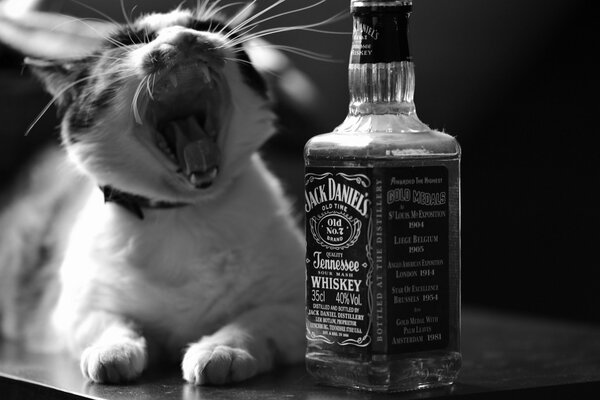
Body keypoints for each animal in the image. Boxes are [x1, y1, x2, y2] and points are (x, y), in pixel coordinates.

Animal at [0, 1, 310, 386]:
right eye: (133, 42)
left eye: (206, 26)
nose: (184, 37)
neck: (184, 213)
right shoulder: (73, 313)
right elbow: (113, 324)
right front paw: (112, 355)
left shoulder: (296, 308)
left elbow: (250, 322)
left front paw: (218, 352)